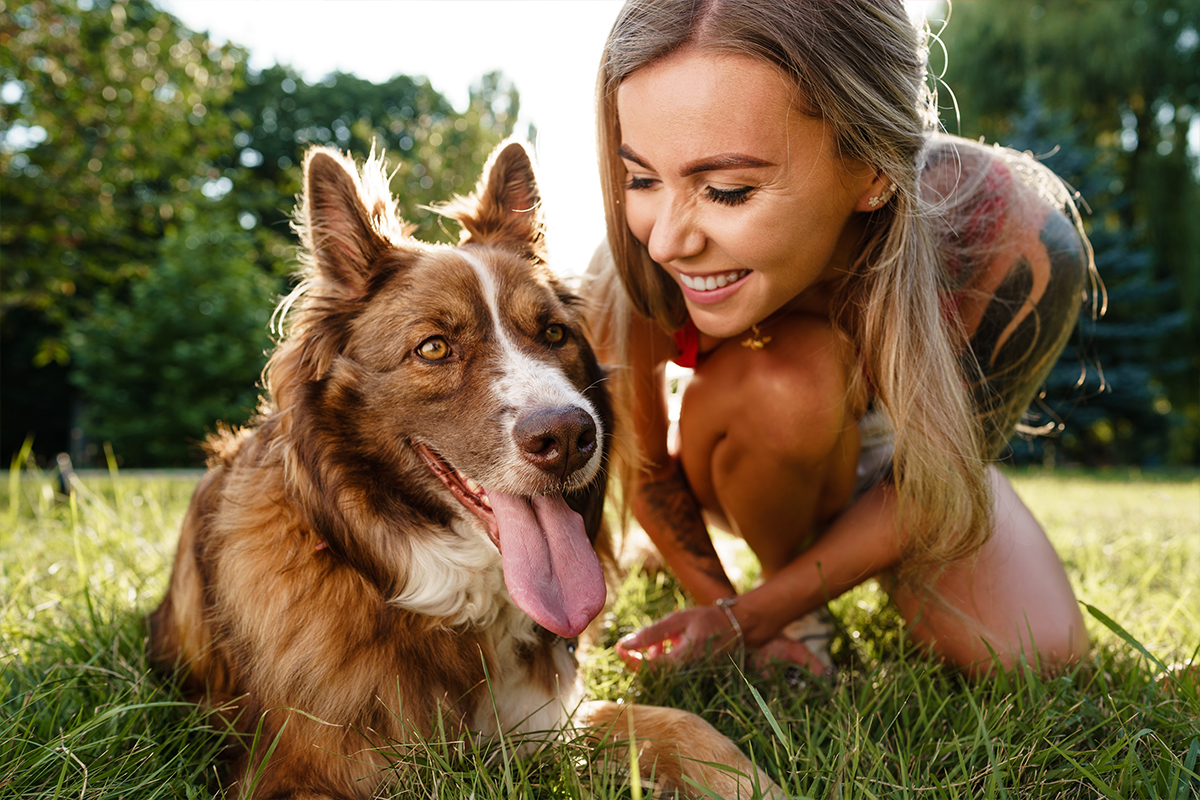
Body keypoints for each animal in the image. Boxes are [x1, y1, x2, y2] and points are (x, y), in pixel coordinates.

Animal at [147, 140, 777, 796]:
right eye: (433, 348)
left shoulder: (547, 719)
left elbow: (686, 725)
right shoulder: (293, 768)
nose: (569, 438)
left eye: (554, 333)